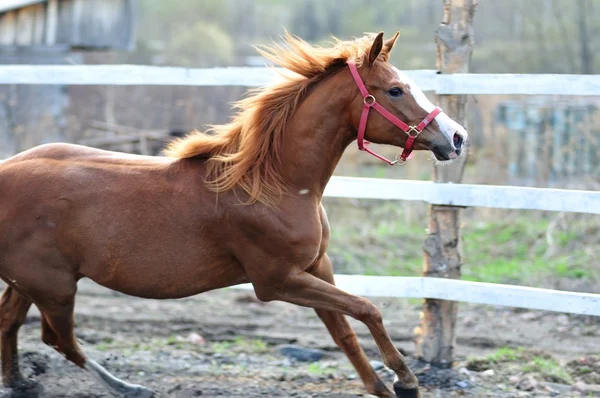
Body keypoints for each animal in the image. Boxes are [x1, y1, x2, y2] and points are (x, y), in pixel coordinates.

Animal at [0, 31, 466, 398]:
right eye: (395, 90)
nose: (457, 137)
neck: (272, 183)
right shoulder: (277, 282)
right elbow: (368, 309)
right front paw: (406, 380)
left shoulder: (318, 268)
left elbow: (346, 333)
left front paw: (385, 385)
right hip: (54, 286)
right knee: (59, 340)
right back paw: (128, 387)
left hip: (31, 282)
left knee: (13, 323)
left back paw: (20, 382)